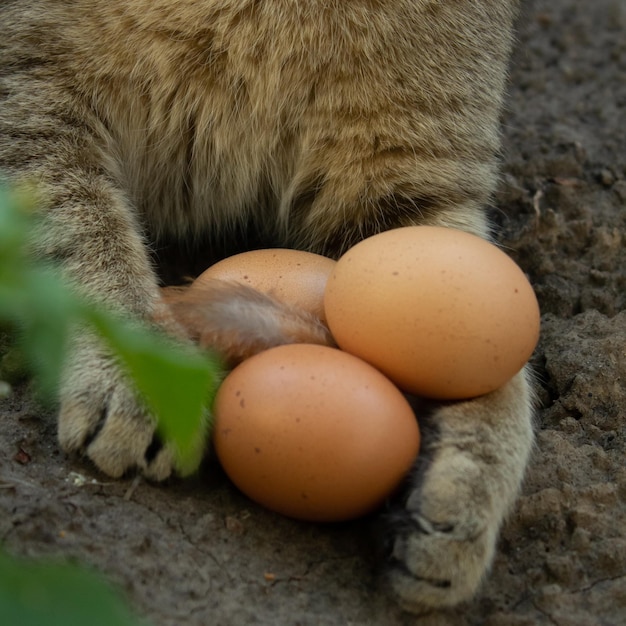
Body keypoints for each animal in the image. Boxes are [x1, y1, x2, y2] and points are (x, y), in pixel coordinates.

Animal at [0, 0, 532, 612]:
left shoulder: (421, 183)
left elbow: (506, 372)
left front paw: (471, 494)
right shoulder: (31, 87)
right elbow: (82, 232)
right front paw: (140, 373)